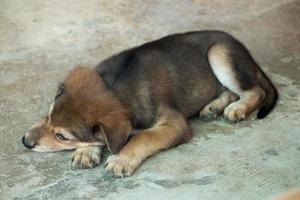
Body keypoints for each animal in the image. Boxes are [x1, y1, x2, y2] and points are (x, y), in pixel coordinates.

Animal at [22, 29, 278, 177]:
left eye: (61, 136)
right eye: (49, 113)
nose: (25, 141)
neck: (117, 90)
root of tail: (246, 52)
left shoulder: (174, 123)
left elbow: (142, 137)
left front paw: (122, 158)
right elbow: (98, 137)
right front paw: (87, 150)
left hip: (219, 55)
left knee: (255, 91)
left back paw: (237, 108)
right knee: (231, 91)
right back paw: (213, 107)